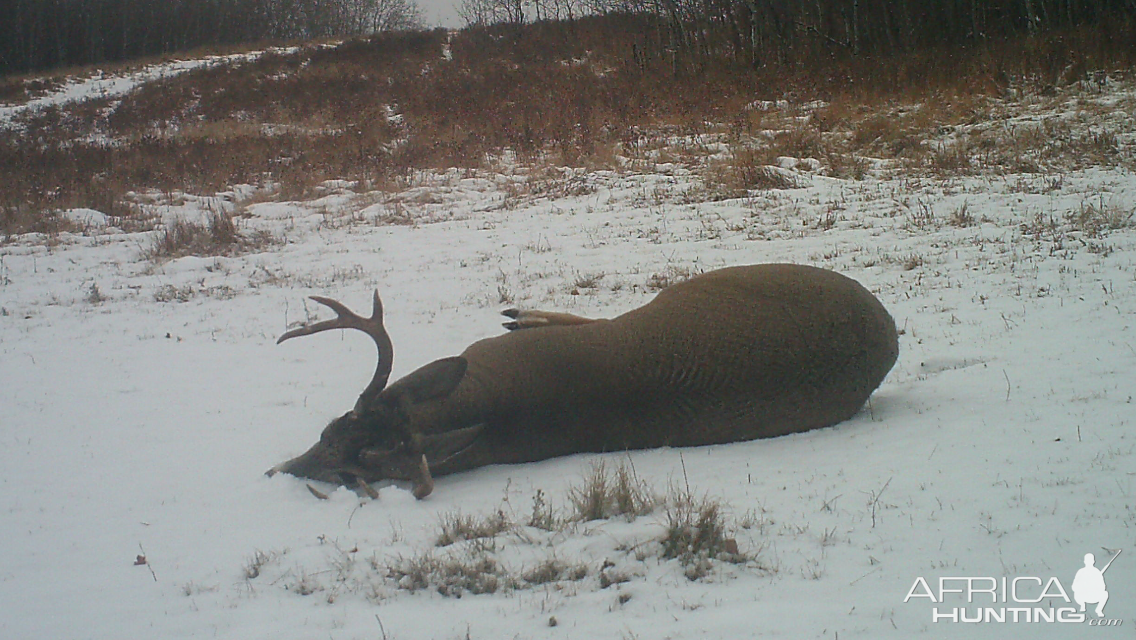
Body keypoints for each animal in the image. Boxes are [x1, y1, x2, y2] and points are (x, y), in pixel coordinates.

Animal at [265, 262, 895, 497]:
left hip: (707, 282)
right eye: (331, 435)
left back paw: (522, 312)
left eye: (343, 463)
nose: (280, 470)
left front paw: (522, 315)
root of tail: (889, 332)